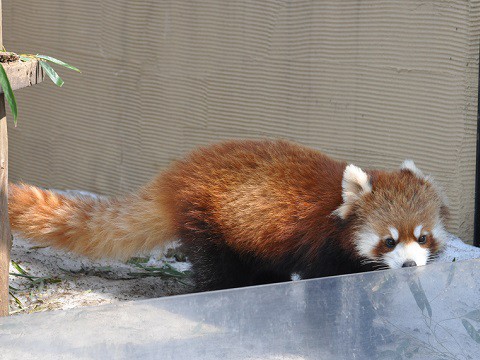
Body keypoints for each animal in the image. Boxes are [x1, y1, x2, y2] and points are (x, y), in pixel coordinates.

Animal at [8, 139, 450, 292]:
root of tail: (176, 175)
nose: (410, 265)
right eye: (389, 240)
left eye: (422, 237)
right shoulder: (319, 245)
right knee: (217, 271)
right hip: (208, 222)